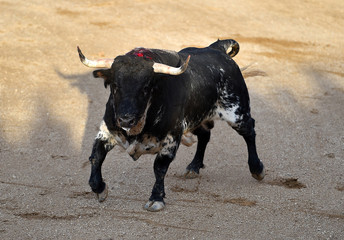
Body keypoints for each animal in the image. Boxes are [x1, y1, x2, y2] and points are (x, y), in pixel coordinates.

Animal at [78, 39, 266, 212]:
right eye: (115, 86)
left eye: (146, 87)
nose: (125, 119)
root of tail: (217, 48)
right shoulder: (106, 131)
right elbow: (96, 156)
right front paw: (99, 189)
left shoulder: (172, 138)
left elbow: (159, 167)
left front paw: (156, 199)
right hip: (197, 118)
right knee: (205, 135)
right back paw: (194, 167)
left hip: (237, 113)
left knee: (249, 131)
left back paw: (257, 169)